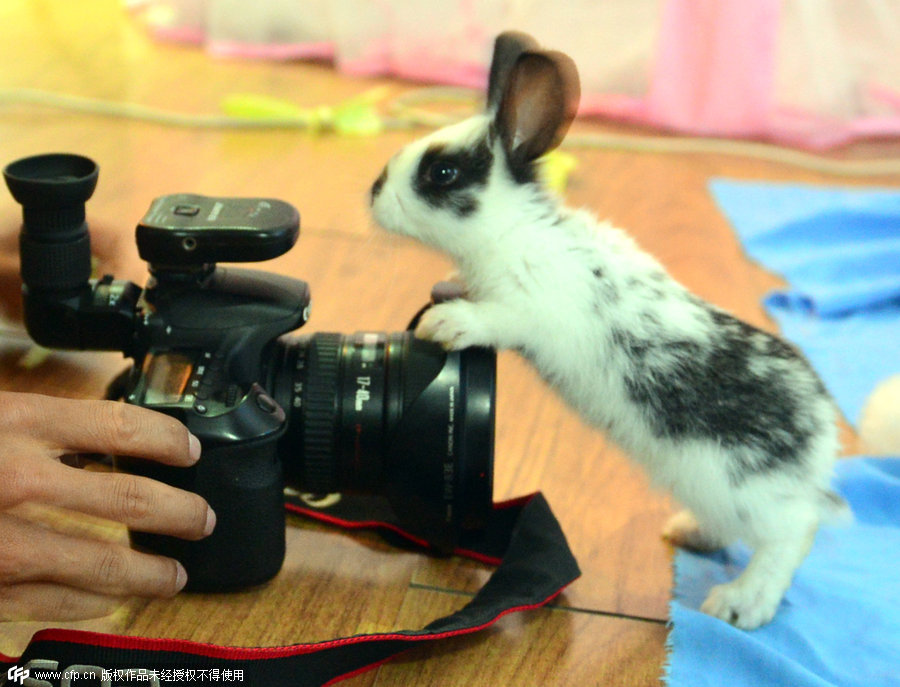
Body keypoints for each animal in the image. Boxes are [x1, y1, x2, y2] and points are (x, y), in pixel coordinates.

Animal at [366, 33, 844, 636]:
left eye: (444, 174)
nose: (372, 193)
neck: (513, 233)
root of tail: (823, 435)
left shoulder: (531, 310)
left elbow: (496, 318)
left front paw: (447, 322)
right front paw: (449, 291)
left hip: (744, 488)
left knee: (793, 534)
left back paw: (739, 604)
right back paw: (690, 534)